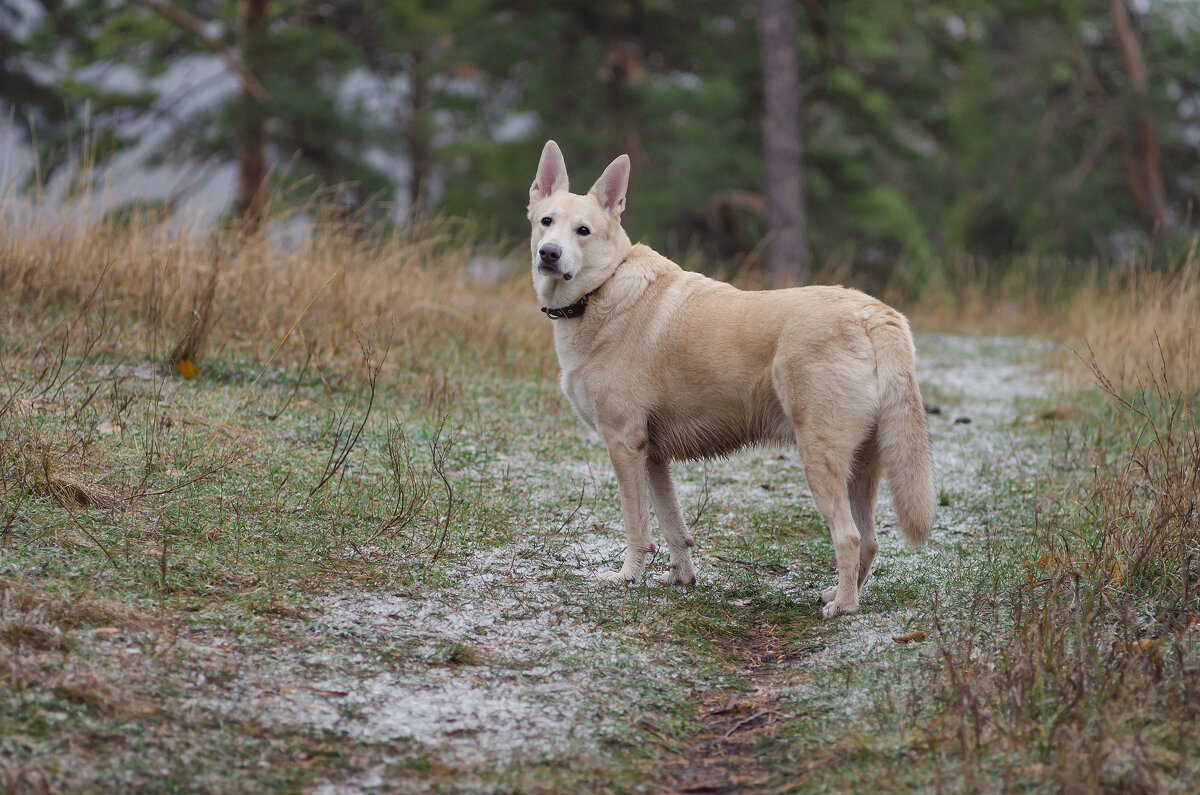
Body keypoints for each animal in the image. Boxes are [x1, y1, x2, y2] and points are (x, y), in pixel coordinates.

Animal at [528, 139, 936, 619]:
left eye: (584, 231)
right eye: (547, 222)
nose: (549, 253)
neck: (601, 289)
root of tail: (873, 313)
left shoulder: (624, 445)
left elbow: (637, 527)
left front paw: (626, 578)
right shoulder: (652, 455)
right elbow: (672, 526)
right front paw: (681, 579)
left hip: (820, 458)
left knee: (849, 537)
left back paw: (842, 608)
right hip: (863, 464)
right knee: (870, 539)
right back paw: (835, 594)